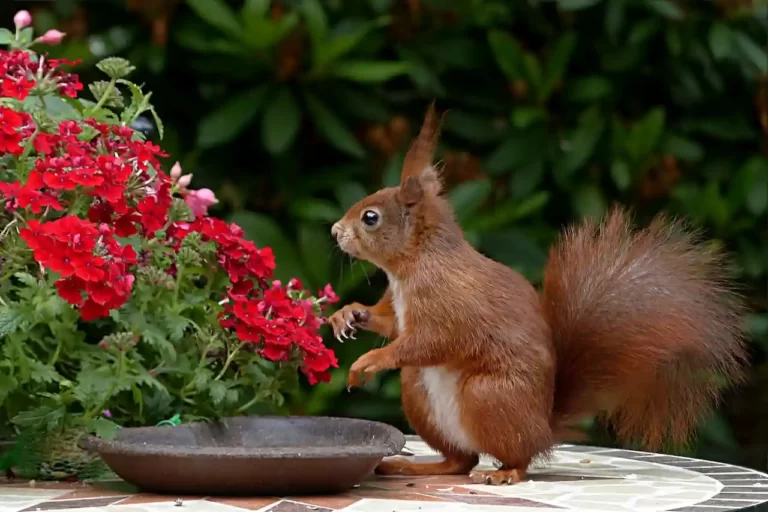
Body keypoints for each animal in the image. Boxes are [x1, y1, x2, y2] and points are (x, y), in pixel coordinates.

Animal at [328, 104, 748, 485]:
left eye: (370, 217)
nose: (334, 231)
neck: (413, 263)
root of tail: (544, 428)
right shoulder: (399, 306)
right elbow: (390, 323)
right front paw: (348, 314)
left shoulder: (446, 302)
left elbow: (429, 341)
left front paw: (370, 360)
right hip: (418, 392)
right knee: (461, 460)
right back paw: (415, 466)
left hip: (488, 396)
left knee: (516, 457)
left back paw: (504, 472)